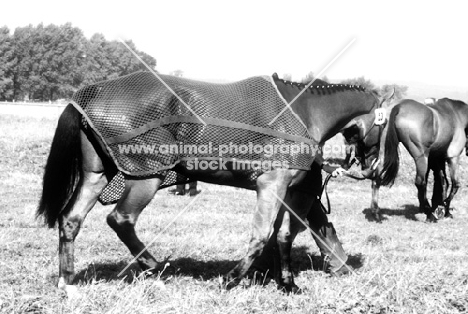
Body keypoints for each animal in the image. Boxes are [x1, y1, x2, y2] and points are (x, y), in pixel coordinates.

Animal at [36, 70, 390, 292]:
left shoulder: (285, 191)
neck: (305, 112)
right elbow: (265, 234)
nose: (378, 169)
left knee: (71, 220)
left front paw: (283, 282)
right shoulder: (273, 184)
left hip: (95, 176)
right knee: (120, 220)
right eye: (386, 124)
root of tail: (87, 96)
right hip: (146, 178)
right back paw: (155, 267)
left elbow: (281, 236)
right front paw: (233, 279)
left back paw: (67, 280)